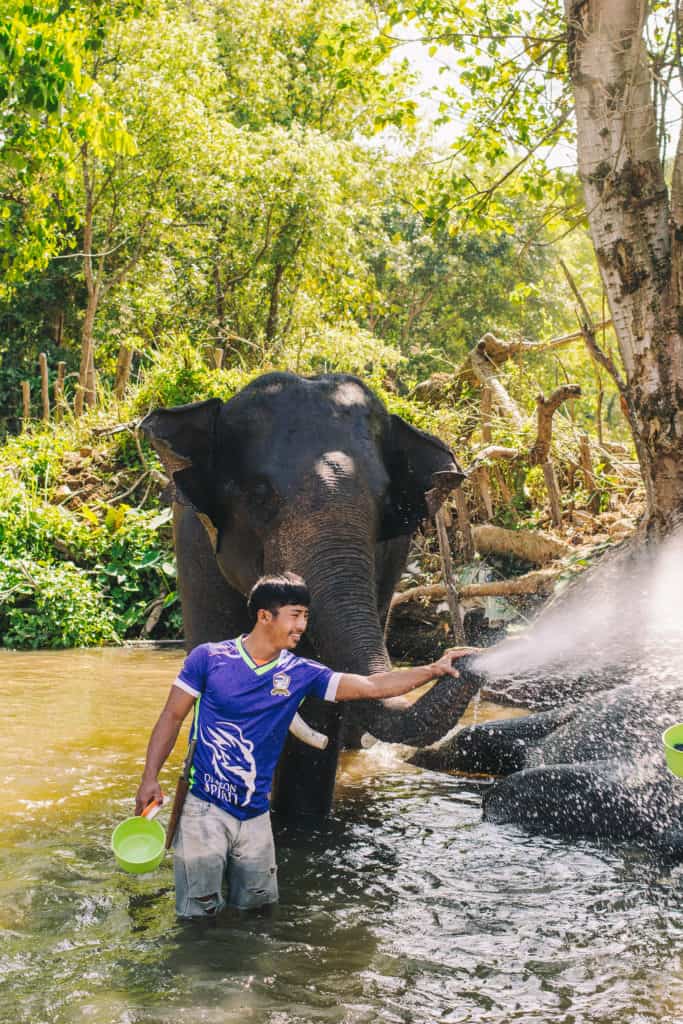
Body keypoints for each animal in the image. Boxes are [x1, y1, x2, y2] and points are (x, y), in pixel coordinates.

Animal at [140, 372, 481, 819]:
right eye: (260, 495)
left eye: (384, 503)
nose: (470, 651)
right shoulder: (195, 547)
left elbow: (323, 700)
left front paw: (298, 823)